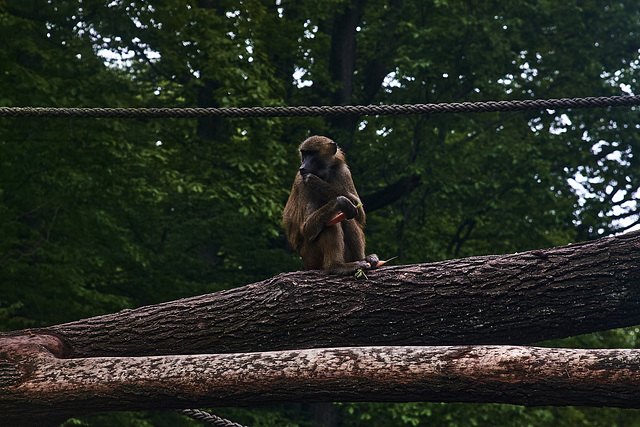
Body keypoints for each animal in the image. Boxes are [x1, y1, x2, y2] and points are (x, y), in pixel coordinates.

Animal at [282, 137, 380, 278]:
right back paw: (336, 267)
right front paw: (340, 201)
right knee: (331, 222)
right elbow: (306, 229)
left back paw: (363, 260)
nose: (302, 167)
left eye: (311, 153)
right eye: (304, 154)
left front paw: (316, 182)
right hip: (310, 258)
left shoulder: (343, 172)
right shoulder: (302, 181)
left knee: (347, 218)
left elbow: (360, 214)